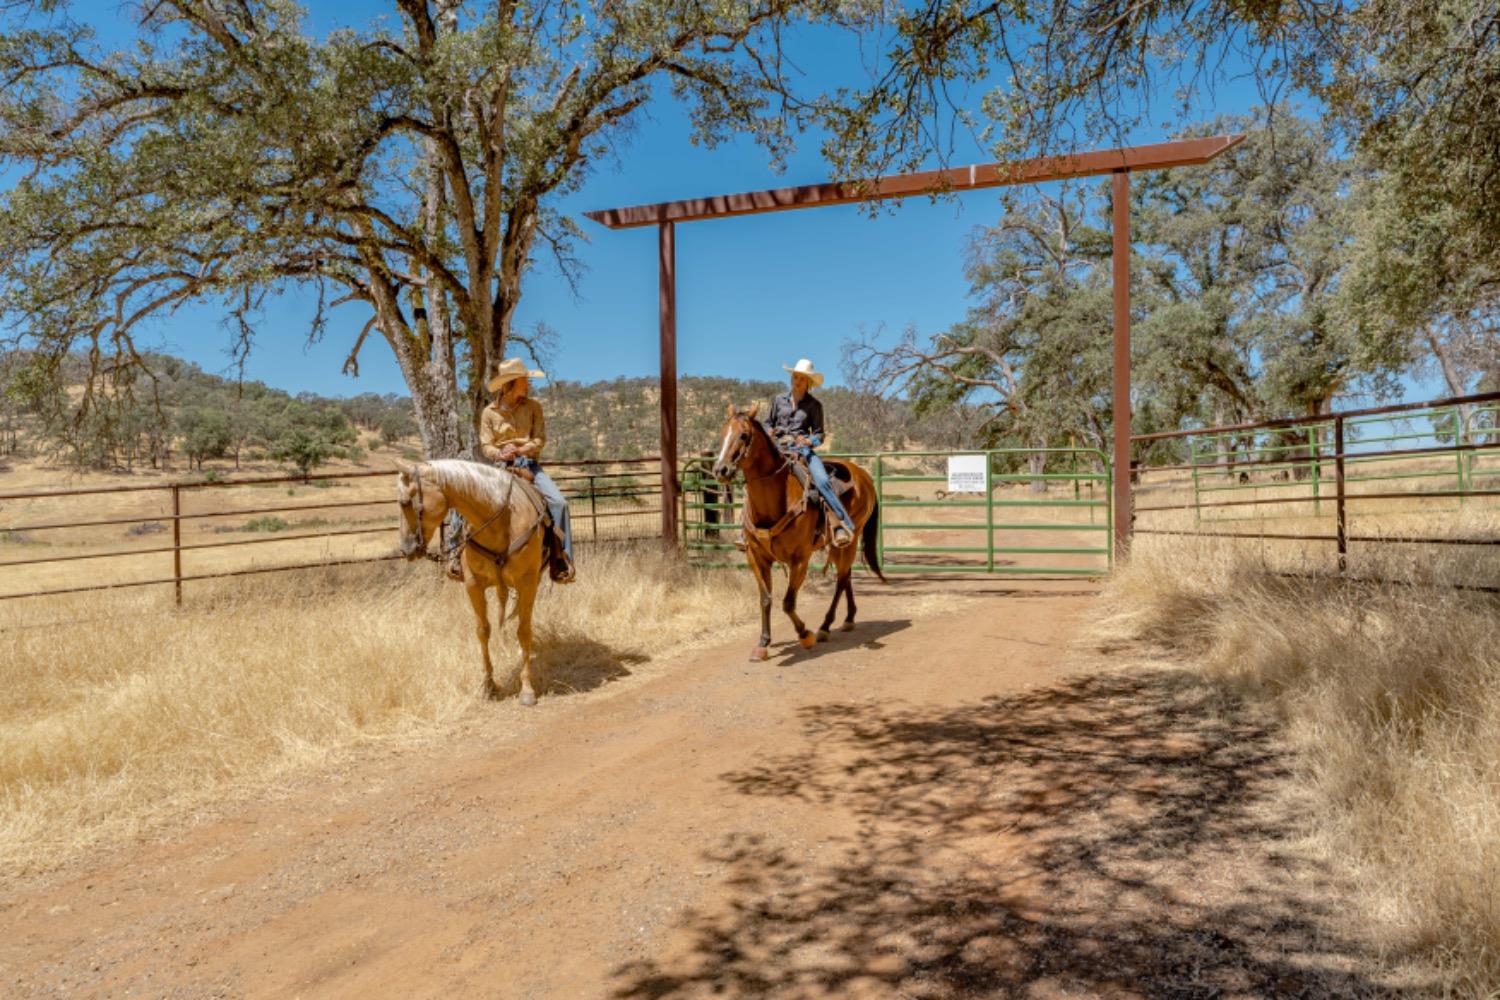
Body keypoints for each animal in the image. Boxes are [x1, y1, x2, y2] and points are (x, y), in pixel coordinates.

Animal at [399, 458, 552, 704]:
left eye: (404, 502)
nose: (406, 550)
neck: (500, 519)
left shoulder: (527, 582)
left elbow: (524, 631)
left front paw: (527, 689)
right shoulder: (474, 585)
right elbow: (483, 630)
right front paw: (488, 685)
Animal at [711, 401, 882, 659]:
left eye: (744, 435)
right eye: (722, 434)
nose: (721, 470)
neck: (774, 499)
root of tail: (864, 475)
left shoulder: (800, 559)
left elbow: (788, 602)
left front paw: (805, 635)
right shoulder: (756, 557)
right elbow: (766, 599)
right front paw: (763, 642)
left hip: (851, 539)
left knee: (841, 579)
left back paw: (825, 626)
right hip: (835, 545)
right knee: (847, 575)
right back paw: (849, 618)